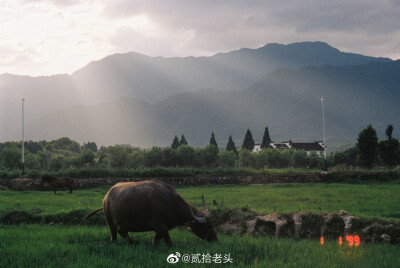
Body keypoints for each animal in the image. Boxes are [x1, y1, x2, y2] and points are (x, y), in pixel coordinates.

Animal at [84, 180, 216, 245]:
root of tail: (106, 197)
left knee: (122, 232)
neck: (170, 203)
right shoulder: (161, 227)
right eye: (207, 226)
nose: (215, 239)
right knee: (114, 235)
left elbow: (157, 240)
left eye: (212, 224)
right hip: (110, 222)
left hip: (123, 222)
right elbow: (167, 242)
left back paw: (132, 243)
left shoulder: (161, 229)